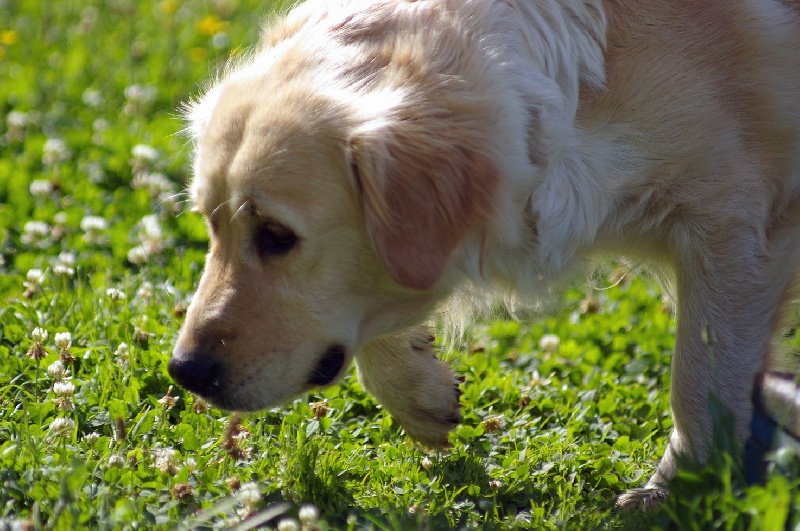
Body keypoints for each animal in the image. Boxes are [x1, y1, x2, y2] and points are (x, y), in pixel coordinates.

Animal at [169, 0, 800, 510]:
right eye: (210, 224)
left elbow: (700, 378)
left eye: (277, 235)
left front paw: (678, 489)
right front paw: (417, 388)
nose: (185, 372)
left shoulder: (734, 223)